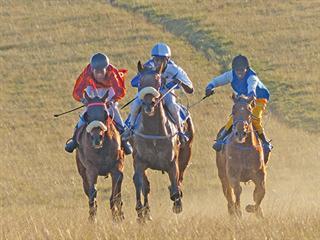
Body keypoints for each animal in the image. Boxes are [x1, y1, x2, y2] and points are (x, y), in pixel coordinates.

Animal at [75, 89, 125, 222]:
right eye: (87, 115)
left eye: (105, 114)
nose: (97, 138)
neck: (101, 149)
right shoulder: (91, 169)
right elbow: (93, 193)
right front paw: (92, 218)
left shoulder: (117, 167)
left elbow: (114, 194)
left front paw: (116, 216)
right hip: (82, 171)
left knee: (118, 191)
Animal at [131, 61, 195, 221]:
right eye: (140, 82)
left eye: (159, 82)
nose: (149, 104)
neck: (153, 132)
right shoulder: (139, 161)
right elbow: (140, 184)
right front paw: (141, 212)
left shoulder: (172, 162)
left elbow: (175, 184)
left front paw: (177, 204)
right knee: (146, 186)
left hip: (187, 152)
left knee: (180, 177)